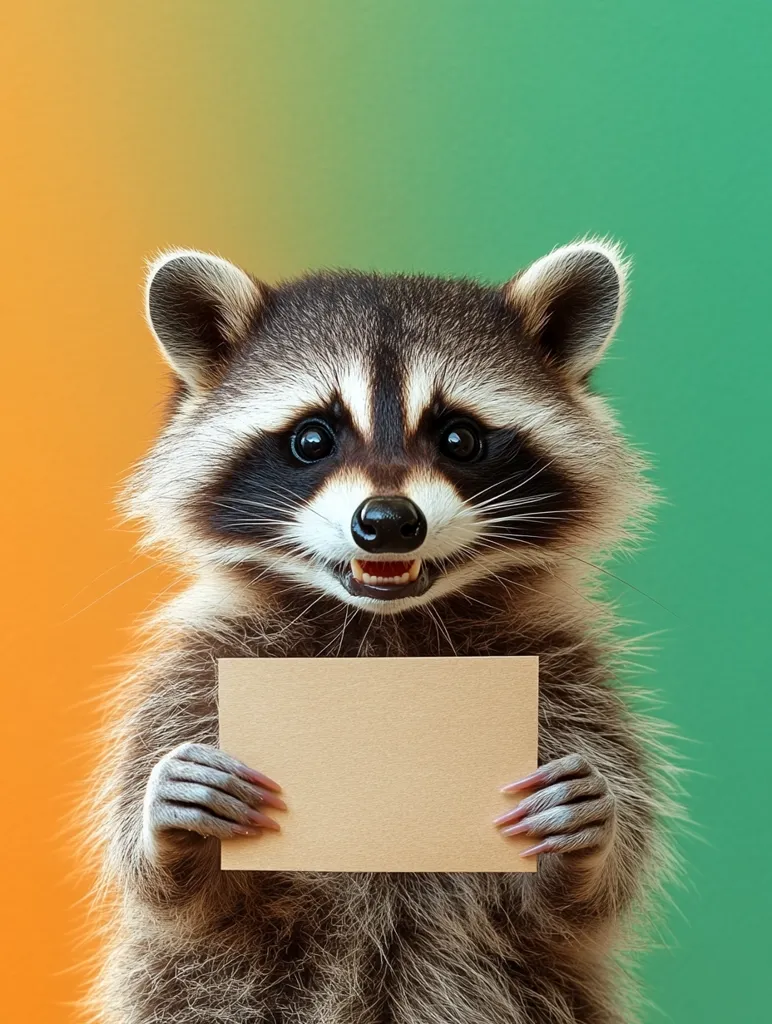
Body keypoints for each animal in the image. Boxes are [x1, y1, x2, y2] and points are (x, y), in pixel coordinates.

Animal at [87, 241, 676, 1024]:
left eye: (460, 438)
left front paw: (585, 843)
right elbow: (171, 888)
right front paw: (169, 826)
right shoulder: (197, 667)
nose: (389, 521)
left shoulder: (571, 672)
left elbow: (582, 901)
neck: (386, 628)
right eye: (312, 438)